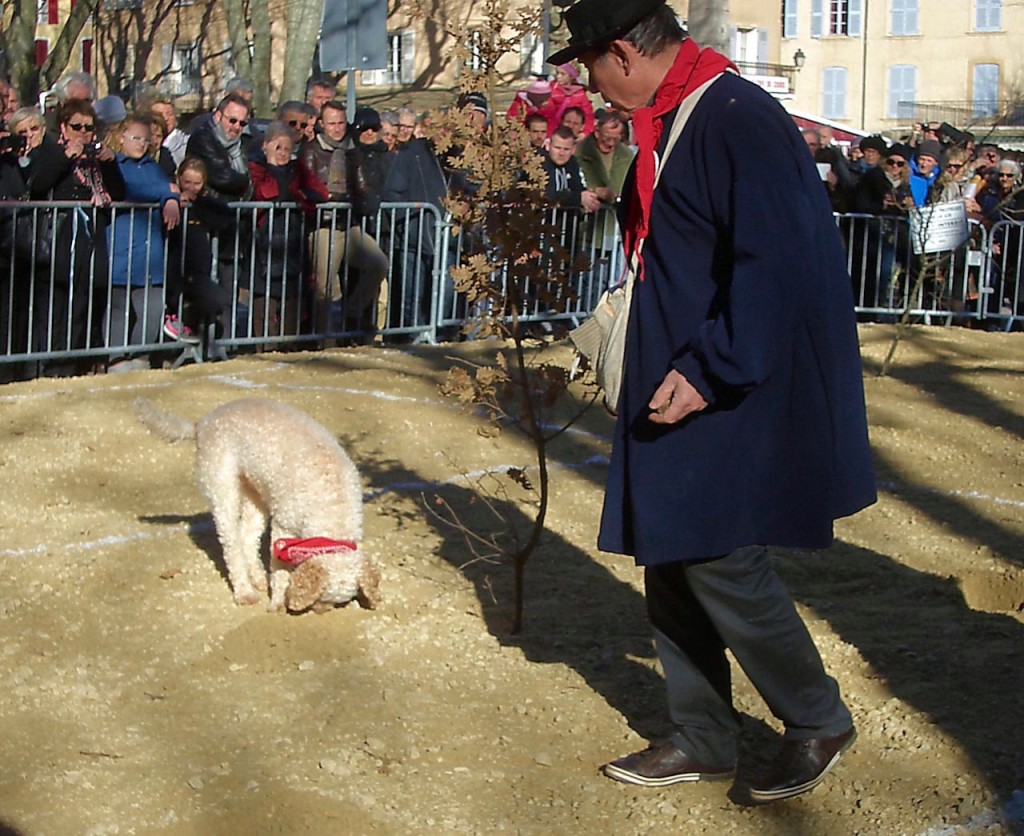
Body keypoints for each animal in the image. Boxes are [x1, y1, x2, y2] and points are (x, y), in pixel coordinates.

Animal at [132, 397, 380, 614]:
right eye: (320, 598)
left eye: (335, 603)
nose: (319, 611)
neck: (333, 504)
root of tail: (201, 423)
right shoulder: (284, 526)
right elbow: (280, 571)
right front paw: (278, 603)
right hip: (222, 487)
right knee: (231, 544)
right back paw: (245, 592)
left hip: (256, 494)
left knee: (247, 537)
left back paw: (259, 579)